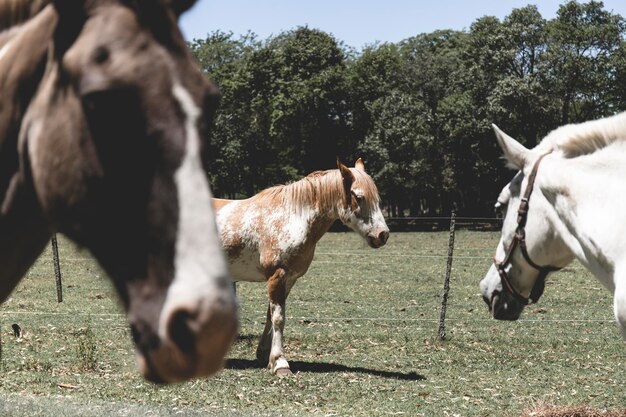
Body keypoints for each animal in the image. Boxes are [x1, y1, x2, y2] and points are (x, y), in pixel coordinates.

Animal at [212, 158, 388, 374]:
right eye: (359, 197)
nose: (383, 234)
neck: (291, 219)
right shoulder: (277, 275)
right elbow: (279, 318)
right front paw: (280, 363)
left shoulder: (289, 279)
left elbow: (271, 314)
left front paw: (265, 355)